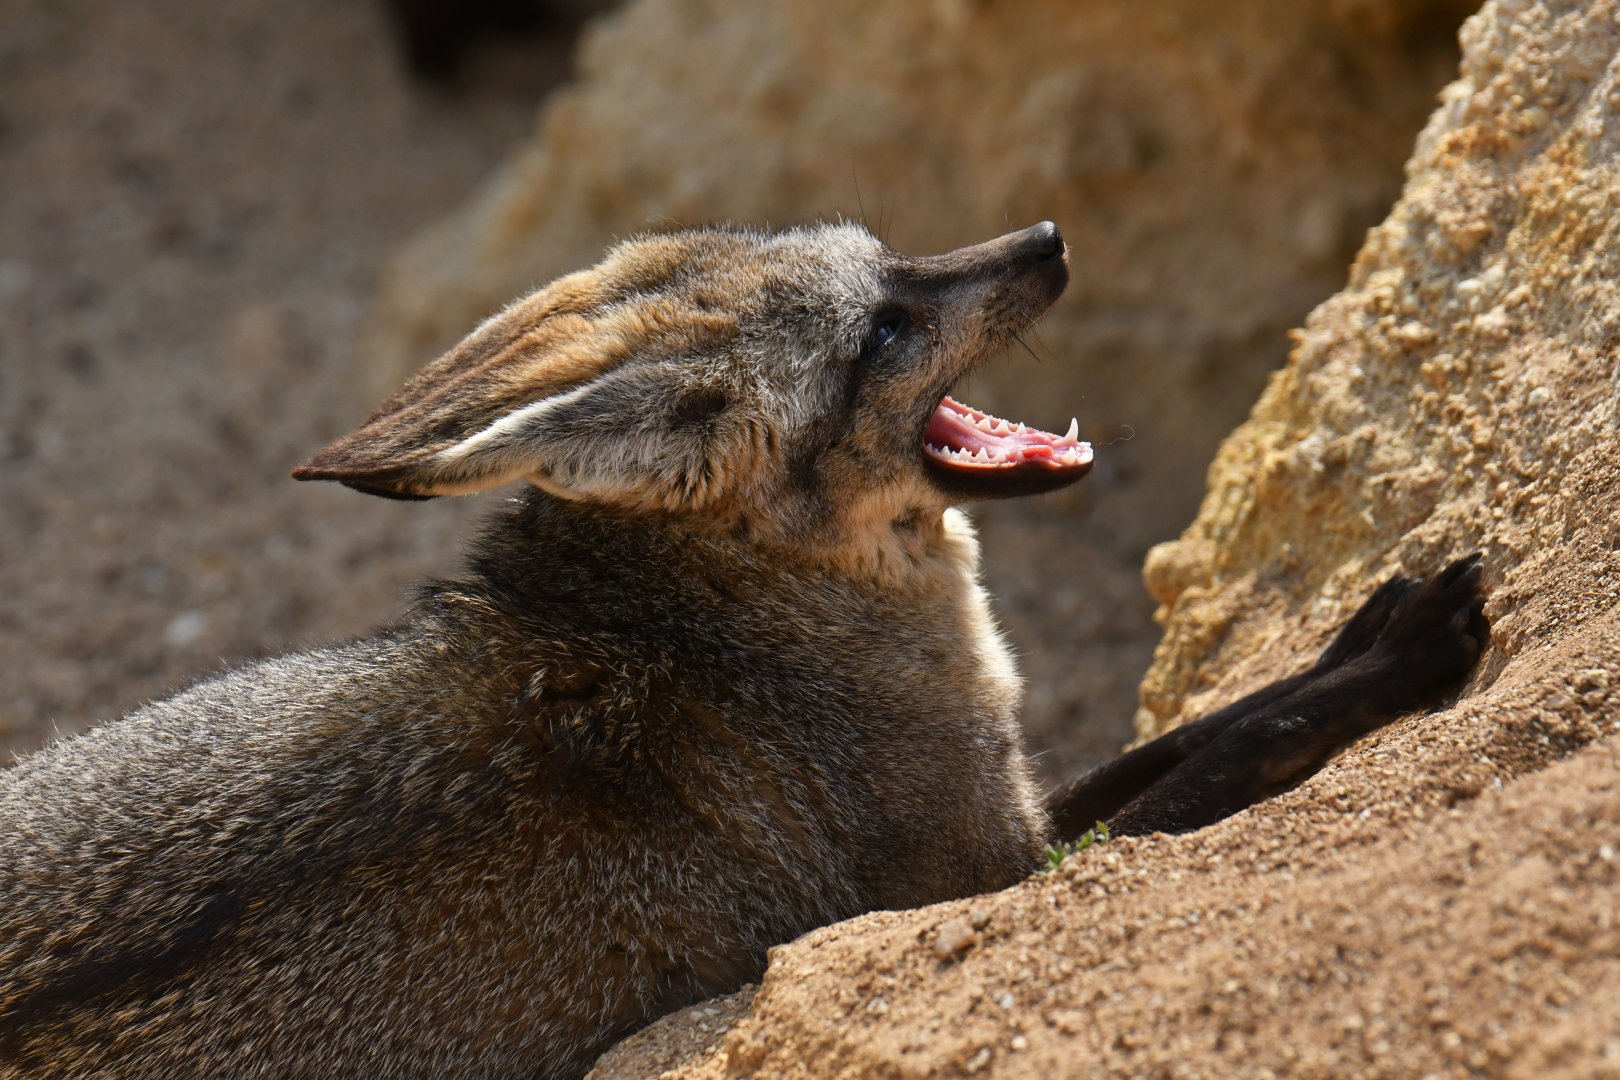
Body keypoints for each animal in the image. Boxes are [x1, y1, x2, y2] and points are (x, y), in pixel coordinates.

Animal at [0, 220, 1488, 1078]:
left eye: (890, 250)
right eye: (881, 330)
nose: (1049, 235)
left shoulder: (1005, 806)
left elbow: (1190, 728)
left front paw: (1356, 630)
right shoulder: (983, 877)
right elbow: (1224, 752)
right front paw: (1406, 652)